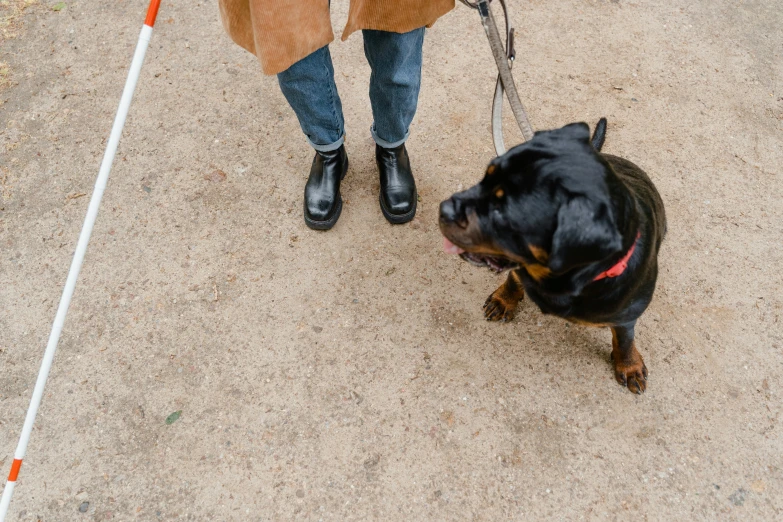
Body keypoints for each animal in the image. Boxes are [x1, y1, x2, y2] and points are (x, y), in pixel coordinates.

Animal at [438, 119, 664, 394]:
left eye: (502, 211)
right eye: (484, 179)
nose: (444, 208)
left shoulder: (627, 315)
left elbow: (624, 338)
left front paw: (629, 365)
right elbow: (514, 278)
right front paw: (505, 300)